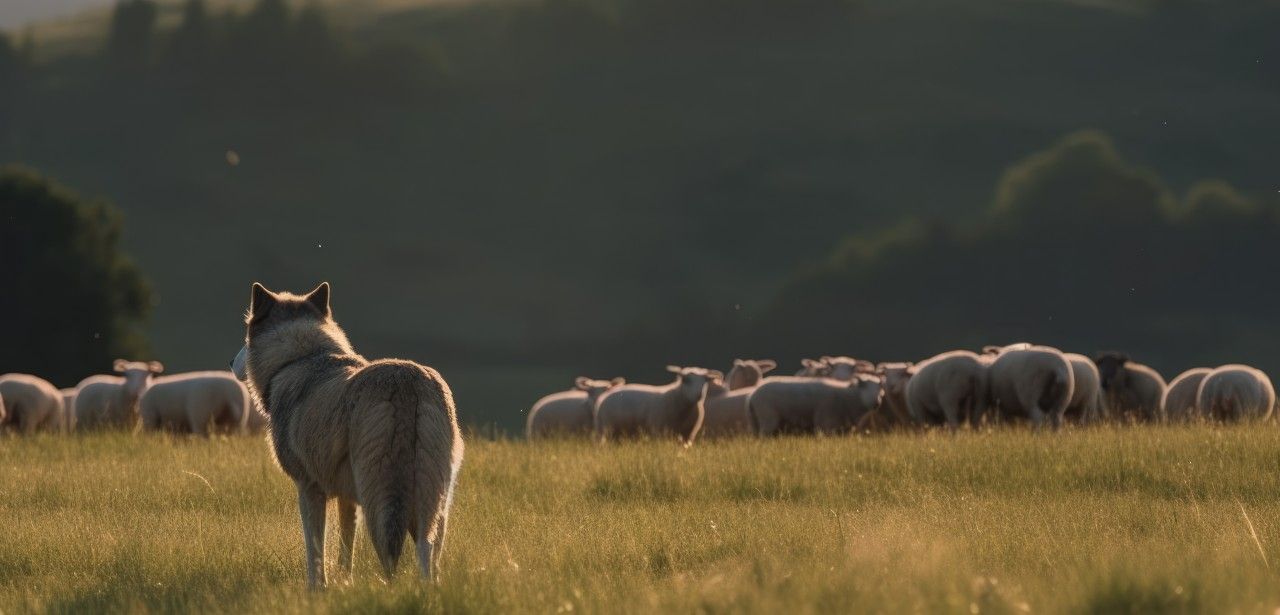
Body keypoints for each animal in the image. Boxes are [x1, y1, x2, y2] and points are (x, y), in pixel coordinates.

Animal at [231, 280, 465, 589]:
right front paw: (345, 585)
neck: (297, 359)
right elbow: (346, 550)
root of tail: (407, 381)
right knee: (427, 554)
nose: (230, 362)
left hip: (379, 502)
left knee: (391, 557)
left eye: (245, 337)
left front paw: (316, 590)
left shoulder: (309, 489)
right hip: (434, 506)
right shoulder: (346, 498)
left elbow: (314, 550)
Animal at [747, 374, 885, 438]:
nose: (876, 403)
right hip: (768, 418)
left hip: (758, 421)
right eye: (865, 387)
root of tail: (752, 396)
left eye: (879, 390)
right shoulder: (827, 423)